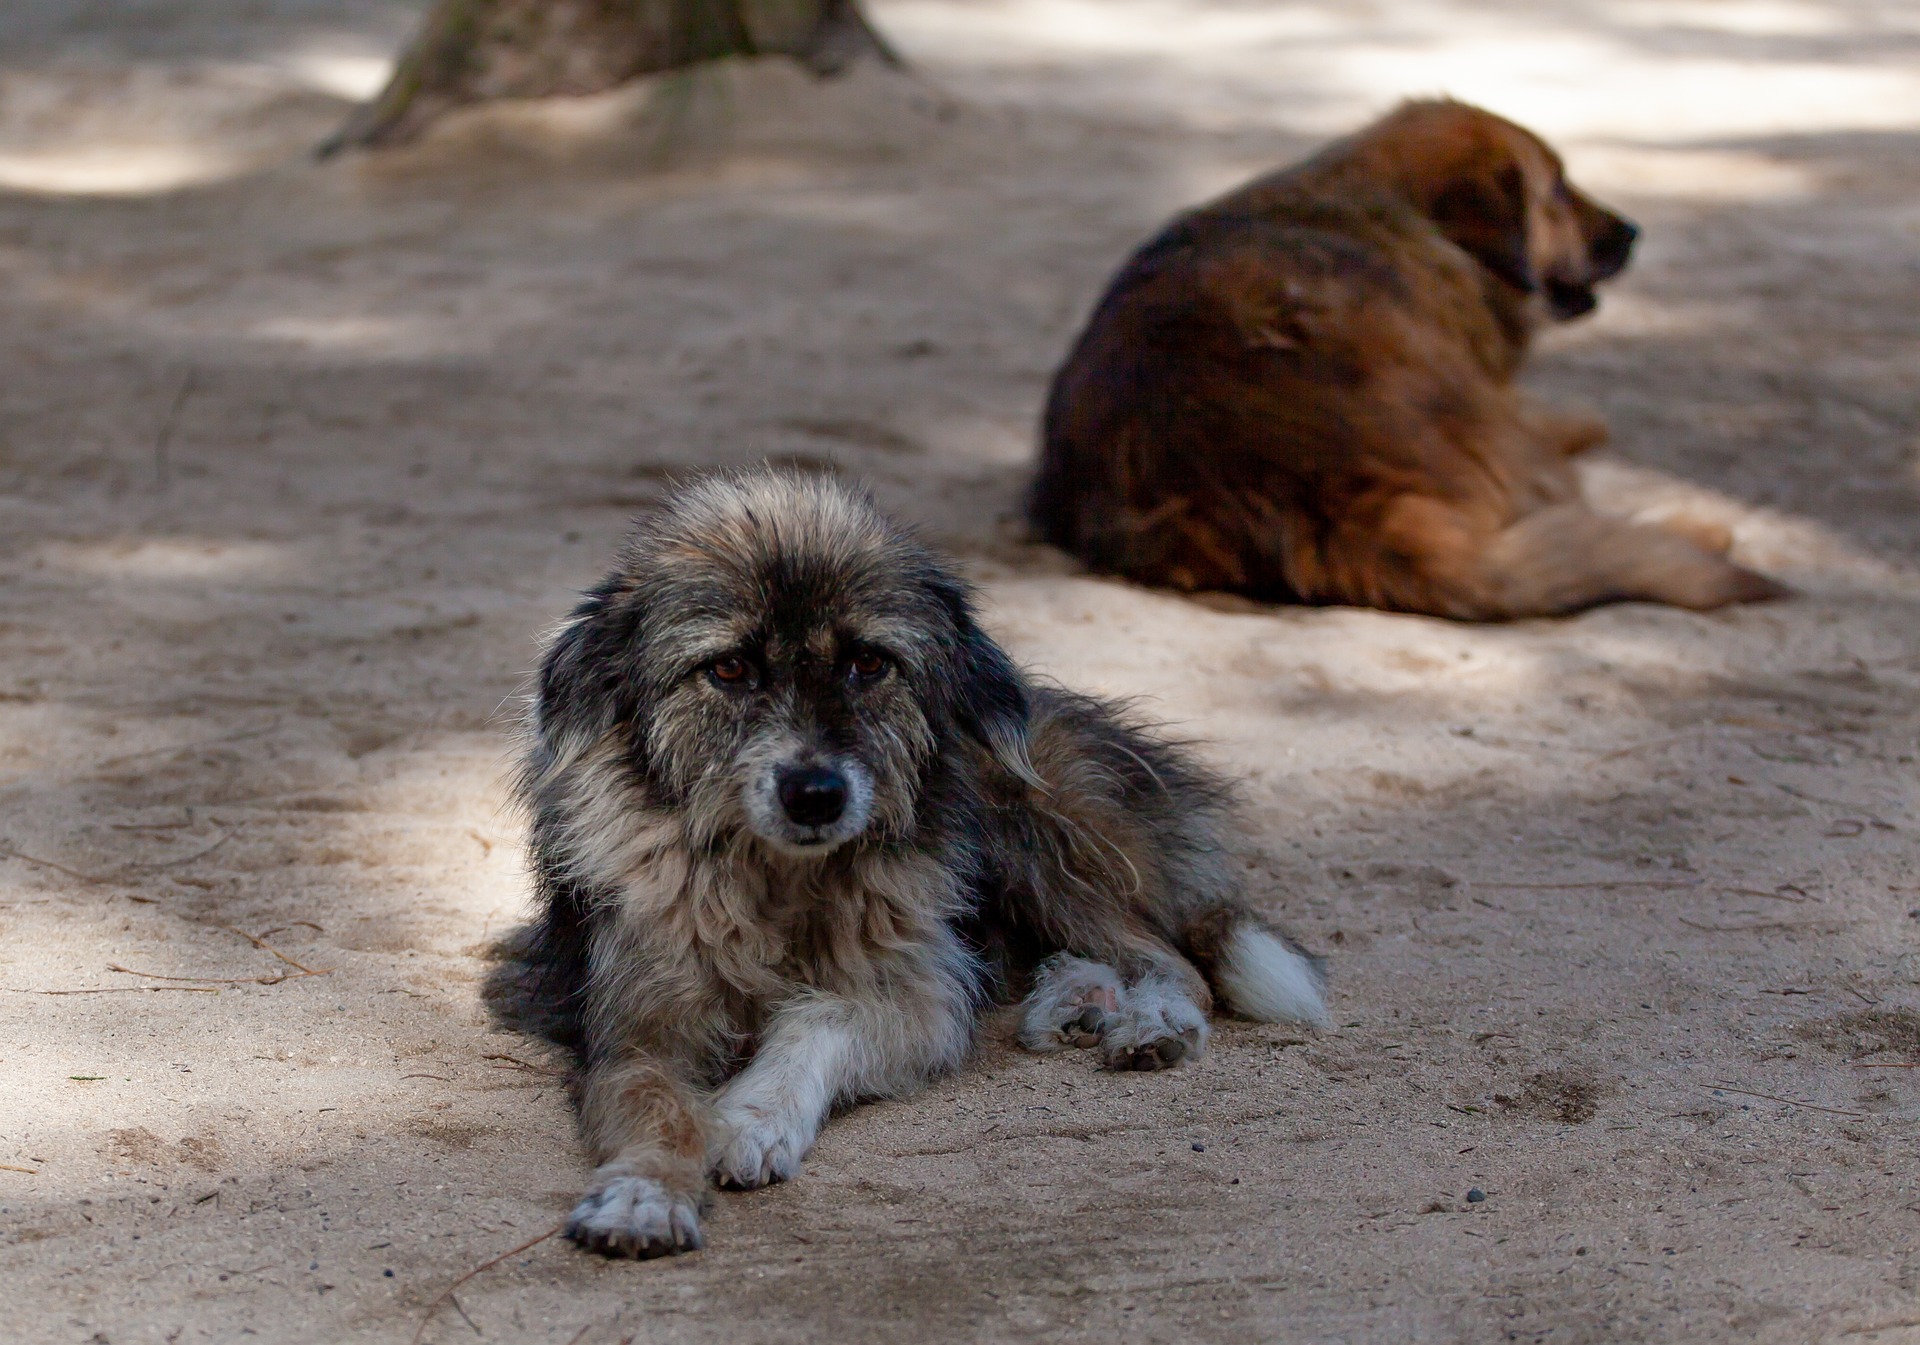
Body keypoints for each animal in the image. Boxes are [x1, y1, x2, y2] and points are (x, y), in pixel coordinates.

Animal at [518, 466, 1328, 1250]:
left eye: (869, 663)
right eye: (730, 670)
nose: (816, 795)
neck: (779, 883)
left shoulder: (920, 998)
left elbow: (823, 1016)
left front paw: (753, 1115)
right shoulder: (637, 1025)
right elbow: (658, 1110)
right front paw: (643, 1195)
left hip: (1034, 833)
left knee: (1170, 958)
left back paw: (1150, 1021)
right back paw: (1076, 1000)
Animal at [1029, 99, 1789, 617]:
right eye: (1557, 192)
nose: (1632, 232)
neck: (1395, 207)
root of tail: (1331, 498)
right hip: (1496, 438)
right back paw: (1694, 527)